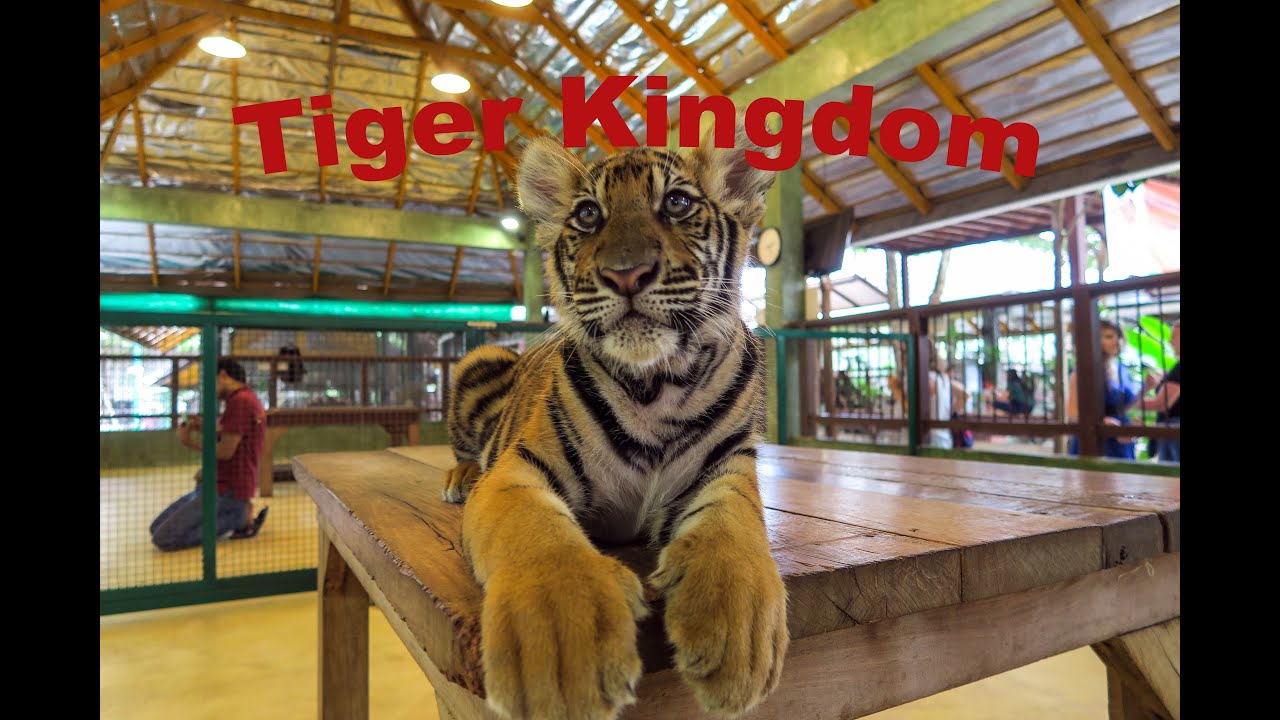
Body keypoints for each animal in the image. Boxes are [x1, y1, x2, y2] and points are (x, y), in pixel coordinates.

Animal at [442, 119, 788, 720]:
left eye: (676, 203)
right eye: (587, 215)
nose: (626, 274)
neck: (659, 384)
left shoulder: (727, 466)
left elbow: (734, 530)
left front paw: (737, 634)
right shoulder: (518, 470)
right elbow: (538, 535)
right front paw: (562, 651)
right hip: (478, 360)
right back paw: (461, 478)